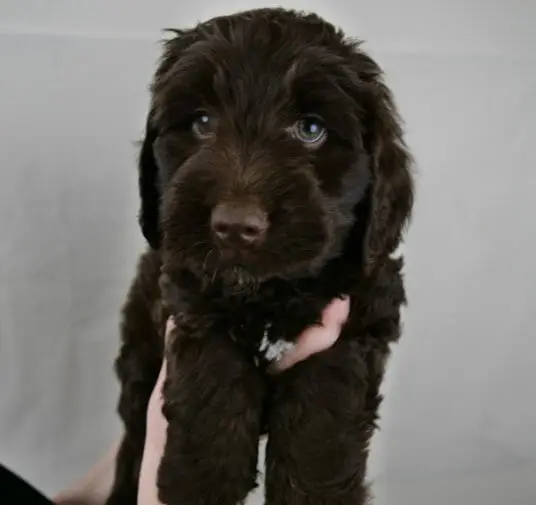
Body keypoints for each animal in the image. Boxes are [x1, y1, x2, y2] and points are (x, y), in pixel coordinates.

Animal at [105, 6, 414, 504]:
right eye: (202, 122)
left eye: (311, 129)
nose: (235, 226)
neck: (269, 292)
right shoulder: (186, 289)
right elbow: (212, 367)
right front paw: (200, 483)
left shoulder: (360, 311)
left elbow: (324, 398)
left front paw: (314, 492)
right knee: (133, 431)